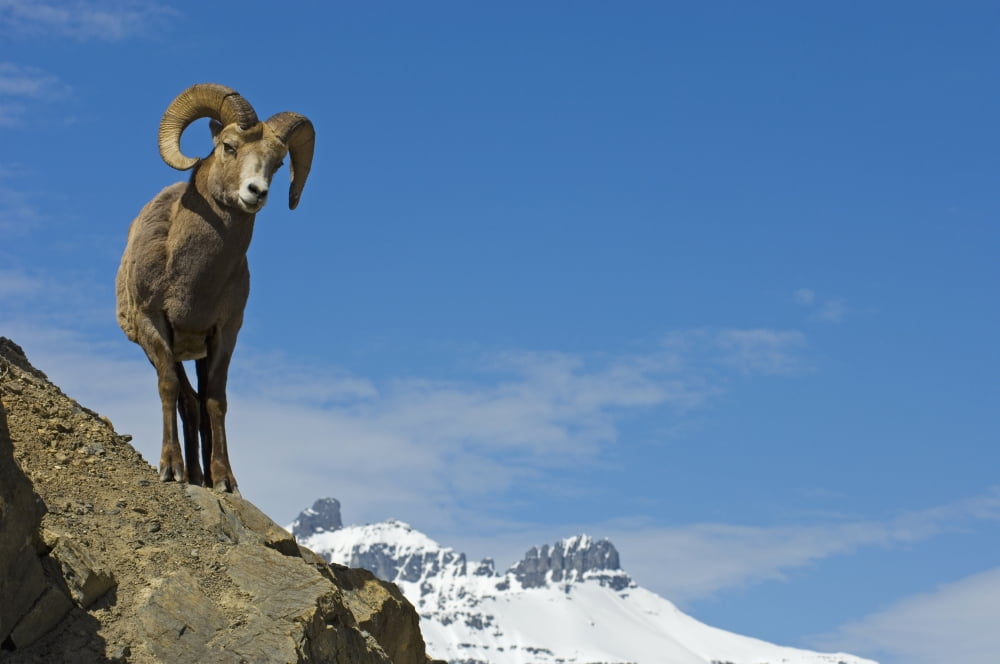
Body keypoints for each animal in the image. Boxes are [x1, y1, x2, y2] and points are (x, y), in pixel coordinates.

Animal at [115, 83, 315, 493]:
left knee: (199, 404)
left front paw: (224, 480)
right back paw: (190, 474)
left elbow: (216, 401)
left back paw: (203, 476)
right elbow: (169, 389)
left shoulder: (224, 333)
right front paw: (170, 469)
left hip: (198, 353)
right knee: (185, 403)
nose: (256, 192)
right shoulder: (154, 326)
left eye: (277, 163)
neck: (192, 282)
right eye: (229, 146)